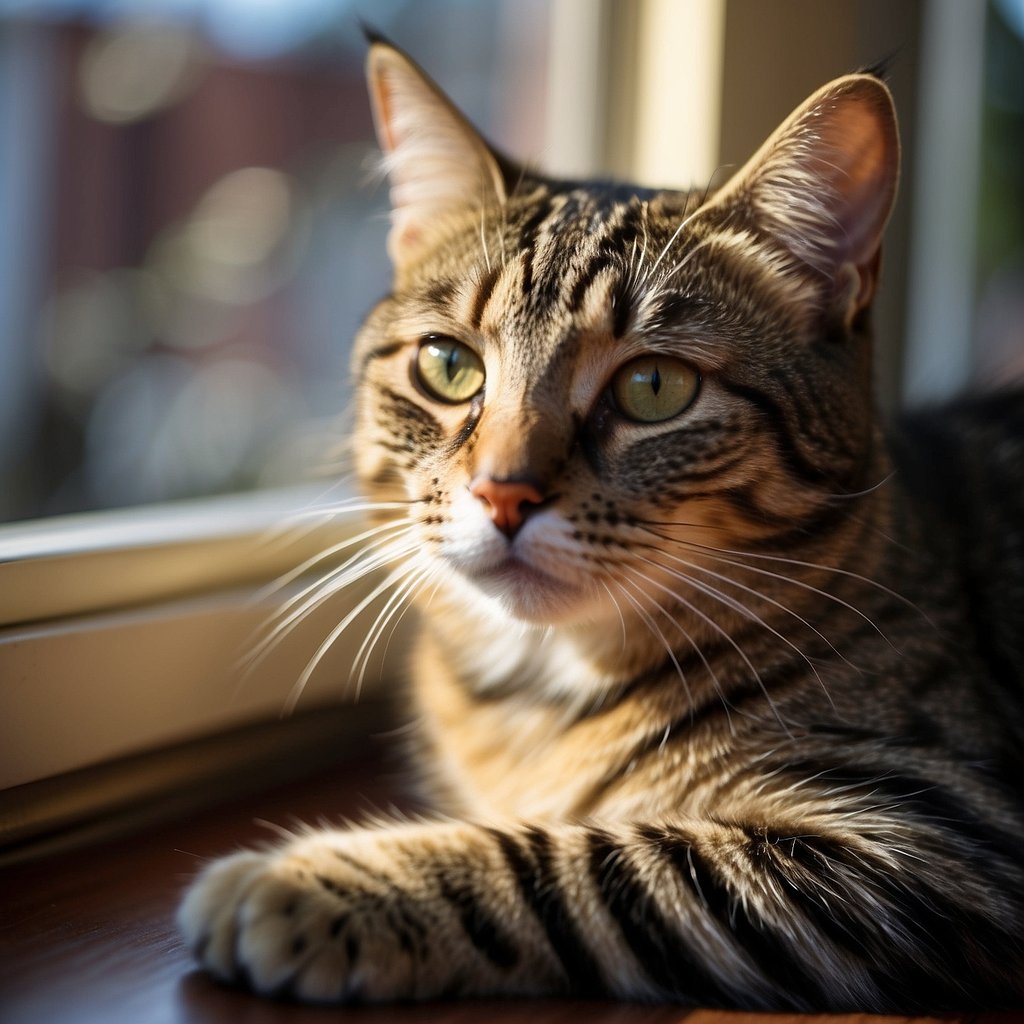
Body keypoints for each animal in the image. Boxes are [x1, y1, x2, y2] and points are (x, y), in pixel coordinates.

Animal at [176, 37, 1024, 1007]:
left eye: (654, 387)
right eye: (449, 365)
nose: (503, 492)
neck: (537, 696)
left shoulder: (931, 836)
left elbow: (579, 860)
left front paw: (310, 880)